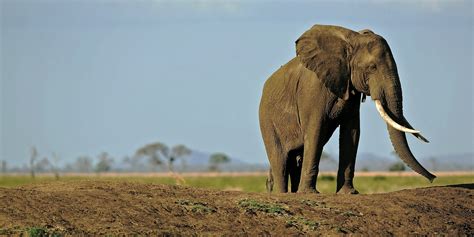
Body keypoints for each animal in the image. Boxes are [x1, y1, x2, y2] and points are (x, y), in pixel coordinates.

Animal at [260, 24, 436, 194]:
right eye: (372, 67)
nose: (433, 178)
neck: (352, 40)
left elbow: (351, 132)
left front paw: (349, 193)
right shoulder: (313, 90)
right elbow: (315, 131)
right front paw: (309, 194)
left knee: (296, 158)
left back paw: (293, 192)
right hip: (266, 120)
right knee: (280, 160)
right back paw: (283, 193)